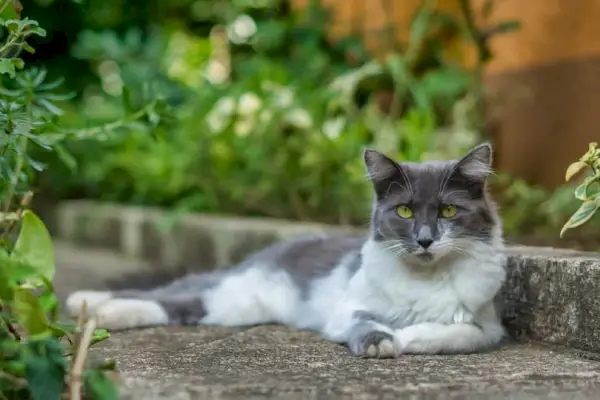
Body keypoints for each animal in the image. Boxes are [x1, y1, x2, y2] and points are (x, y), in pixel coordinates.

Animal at [64, 142, 506, 358]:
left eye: (447, 210)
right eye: (405, 210)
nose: (425, 239)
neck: (425, 279)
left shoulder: (487, 327)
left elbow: (454, 334)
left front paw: (405, 337)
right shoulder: (349, 306)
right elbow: (364, 322)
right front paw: (381, 341)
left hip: (234, 307)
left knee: (176, 305)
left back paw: (100, 312)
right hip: (230, 290)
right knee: (164, 294)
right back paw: (88, 304)